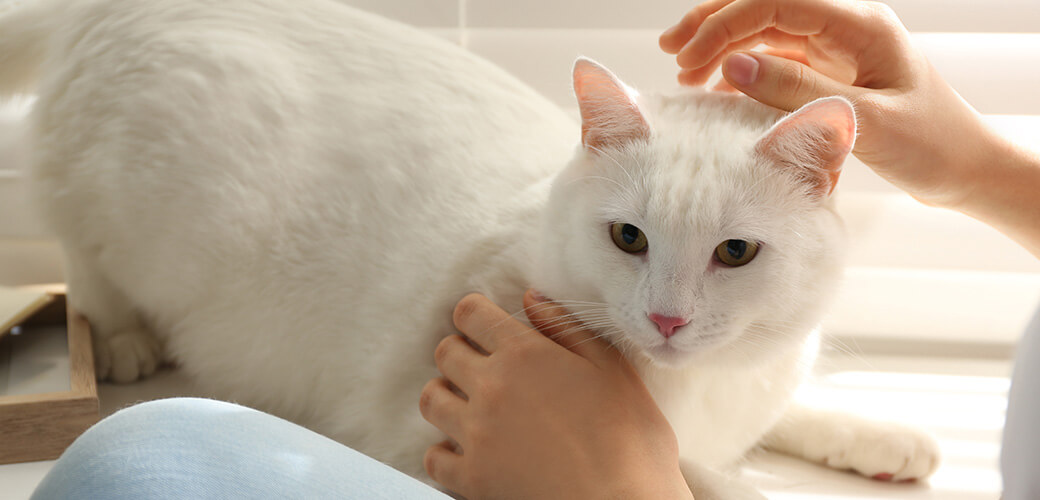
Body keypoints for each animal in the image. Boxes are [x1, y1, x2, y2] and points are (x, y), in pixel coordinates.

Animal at [0, 0, 940, 496]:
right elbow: (691, 473)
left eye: (736, 253)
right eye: (629, 238)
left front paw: (883, 437)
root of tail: (116, 5)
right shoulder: (427, 438)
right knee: (79, 252)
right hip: (106, 201)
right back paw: (120, 338)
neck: (698, 388)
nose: (667, 320)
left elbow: (783, 415)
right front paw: (734, 480)